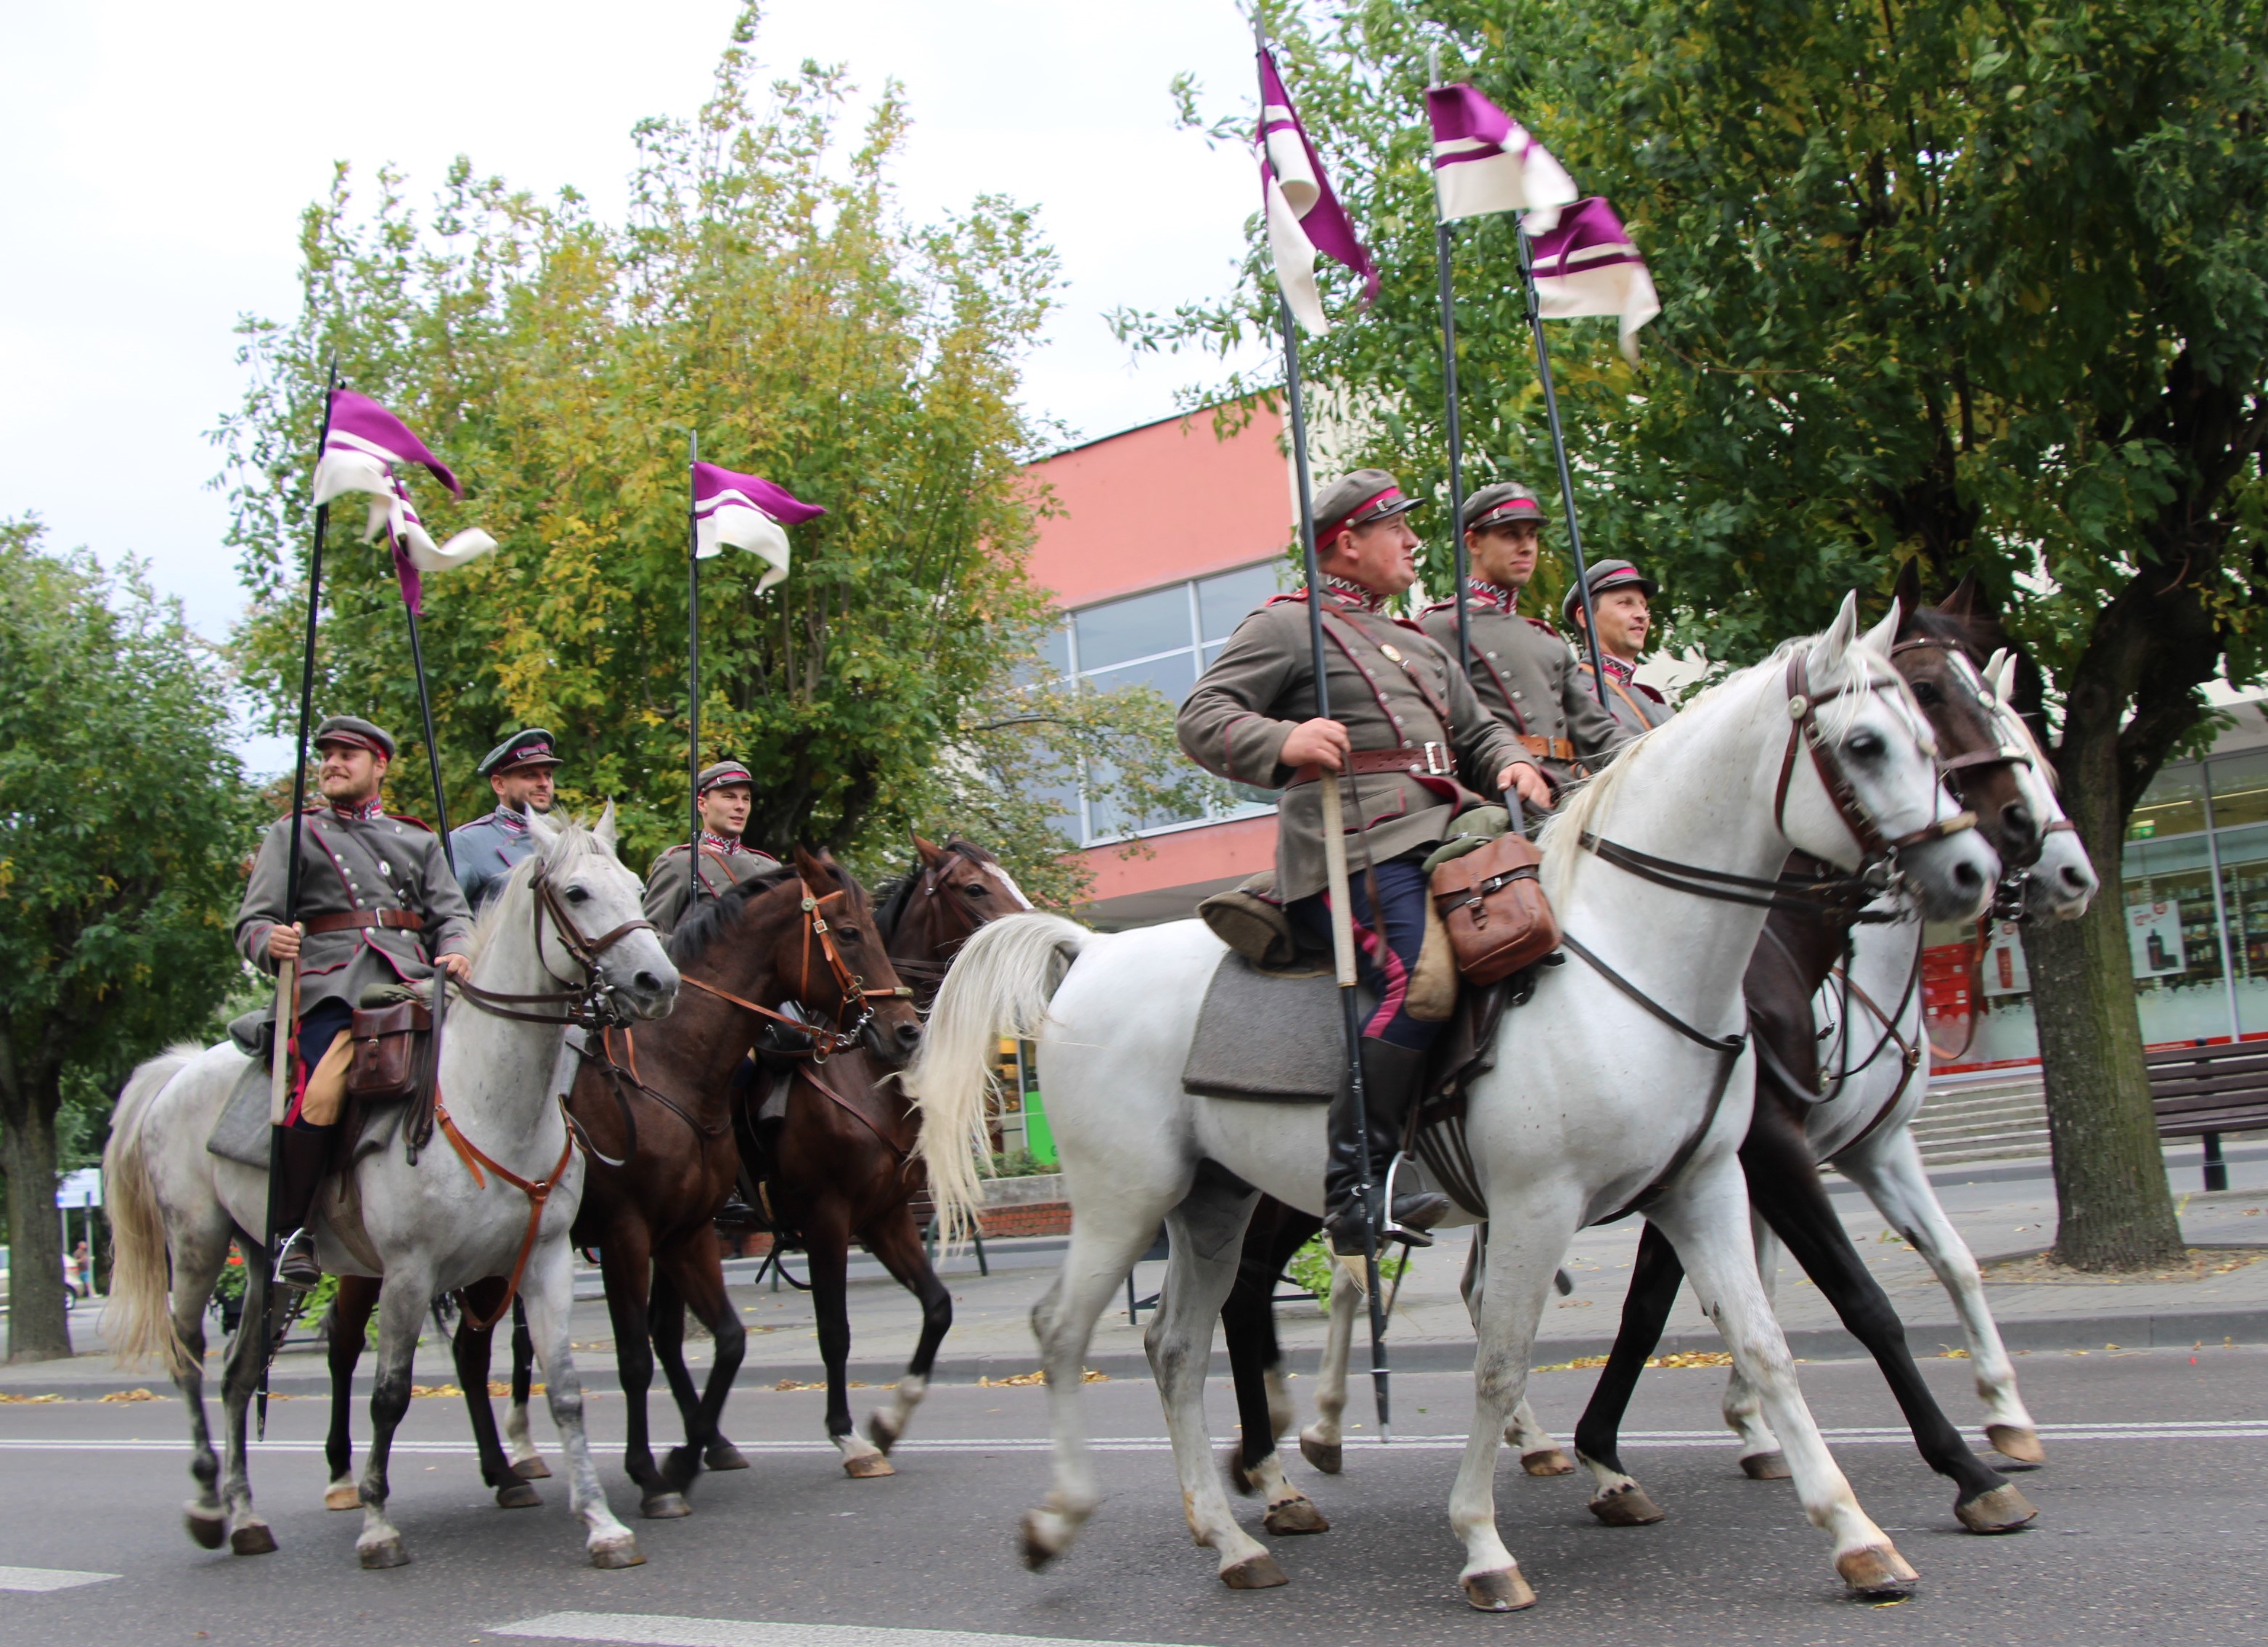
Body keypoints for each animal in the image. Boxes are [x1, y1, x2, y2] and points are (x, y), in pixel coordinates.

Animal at [106, 812, 671, 1569]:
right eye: (577, 892)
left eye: (636, 886)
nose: (658, 979)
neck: (491, 1099)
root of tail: (180, 1068)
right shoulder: (408, 1272)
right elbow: (390, 1395)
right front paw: (378, 1524)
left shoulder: (545, 1261)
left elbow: (567, 1391)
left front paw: (602, 1522)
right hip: (197, 1247)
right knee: (189, 1357)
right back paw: (206, 1502)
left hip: (257, 1260)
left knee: (238, 1372)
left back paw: (247, 1515)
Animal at [322, 853, 921, 1524]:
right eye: (848, 932)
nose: (905, 1031)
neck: (670, 1064)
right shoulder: (653, 1231)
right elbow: (648, 1355)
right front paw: (660, 1472)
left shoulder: (710, 1230)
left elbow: (730, 1340)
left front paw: (687, 1456)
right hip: (381, 1262)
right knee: (348, 1343)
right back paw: (349, 1474)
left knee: (475, 1357)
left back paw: (510, 1472)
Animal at [911, 599, 1996, 1615]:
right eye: (1867, 742)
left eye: (1930, 732)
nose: (1974, 870)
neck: (1627, 952)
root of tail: (1092, 950)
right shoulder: (1537, 1204)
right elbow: (1499, 1362)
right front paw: (1483, 1543)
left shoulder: (1702, 1185)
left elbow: (1764, 1343)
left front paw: (1857, 1533)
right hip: (1124, 1199)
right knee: (1062, 1329)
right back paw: (1066, 1515)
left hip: (1213, 1202)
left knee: (1175, 1349)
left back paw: (1233, 1538)